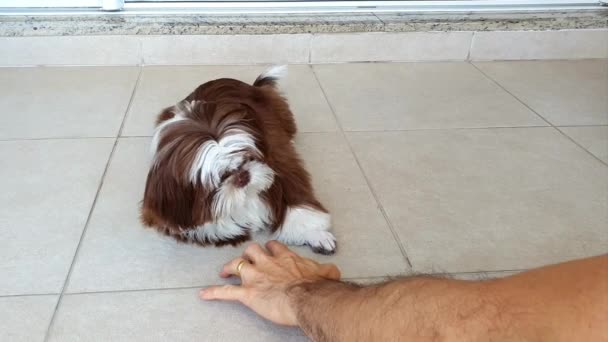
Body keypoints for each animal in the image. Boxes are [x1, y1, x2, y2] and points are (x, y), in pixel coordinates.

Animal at [141, 66, 338, 254]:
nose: (243, 176)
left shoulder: (280, 164)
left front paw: (316, 235)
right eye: (220, 178)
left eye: (247, 159)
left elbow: (297, 205)